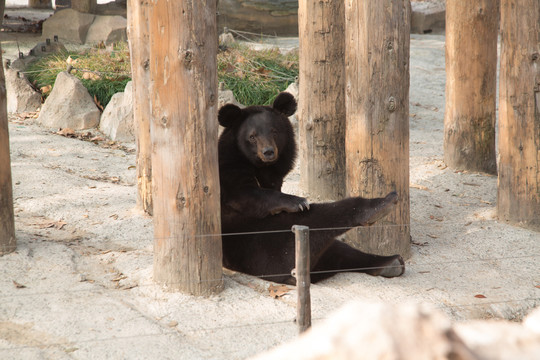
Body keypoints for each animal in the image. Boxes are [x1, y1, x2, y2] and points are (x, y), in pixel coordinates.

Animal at [217, 92, 402, 284]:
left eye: (274, 131)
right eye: (252, 136)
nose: (268, 152)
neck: (262, 166)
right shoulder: (229, 171)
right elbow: (245, 194)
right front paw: (298, 201)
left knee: (342, 251)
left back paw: (390, 262)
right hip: (263, 245)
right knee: (320, 221)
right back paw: (380, 206)